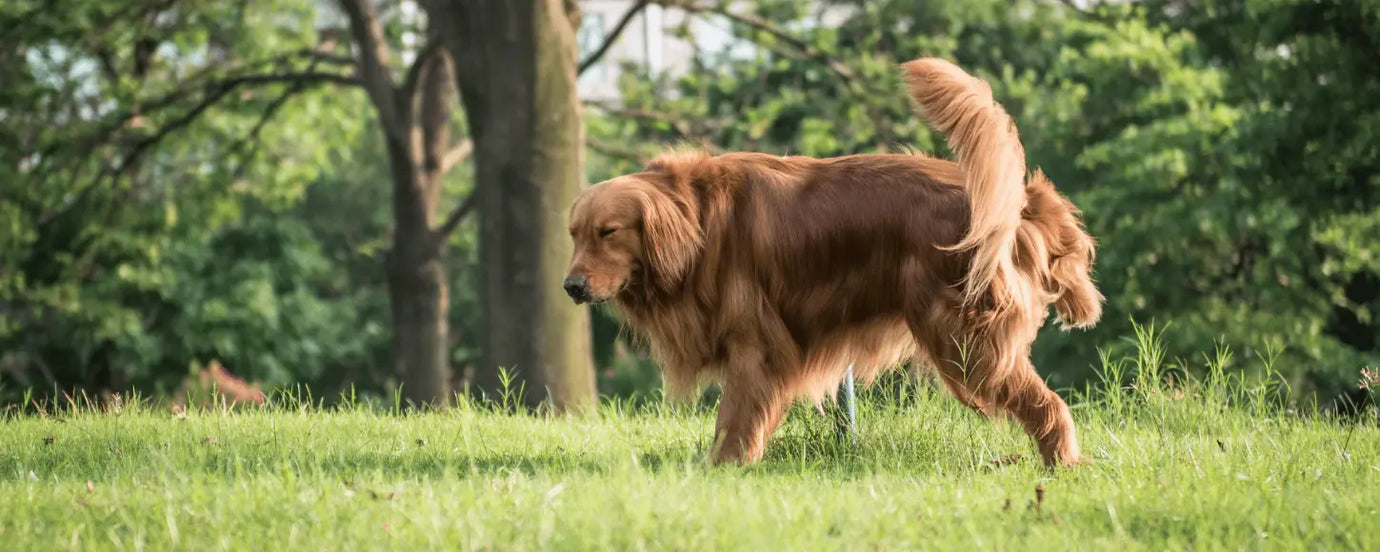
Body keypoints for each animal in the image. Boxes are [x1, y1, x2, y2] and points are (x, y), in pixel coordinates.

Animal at [560, 58, 1098, 466]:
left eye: (608, 233)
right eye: (575, 235)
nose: (571, 287)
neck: (697, 223)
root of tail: (1021, 204)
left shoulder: (755, 345)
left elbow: (735, 418)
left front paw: (724, 468)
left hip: (962, 341)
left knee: (1048, 405)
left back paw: (1062, 464)